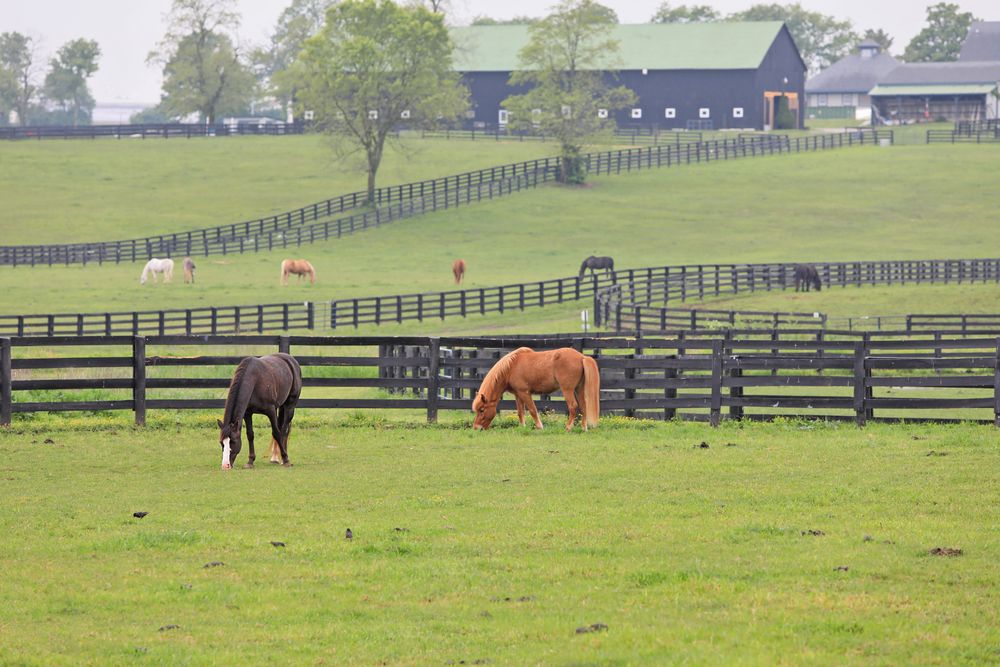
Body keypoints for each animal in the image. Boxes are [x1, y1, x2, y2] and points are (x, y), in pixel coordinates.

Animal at [472, 347, 600, 432]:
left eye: (482, 410)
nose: (476, 428)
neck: (511, 367)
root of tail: (582, 357)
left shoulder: (525, 393)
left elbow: (532, 410)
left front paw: (539, 427)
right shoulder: (518, 394)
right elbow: (520, 412)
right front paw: (522, 427)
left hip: (567, 390)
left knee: (573, 406)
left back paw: (568, 428)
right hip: (579, 389)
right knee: (583, 406)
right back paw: (584, 428)